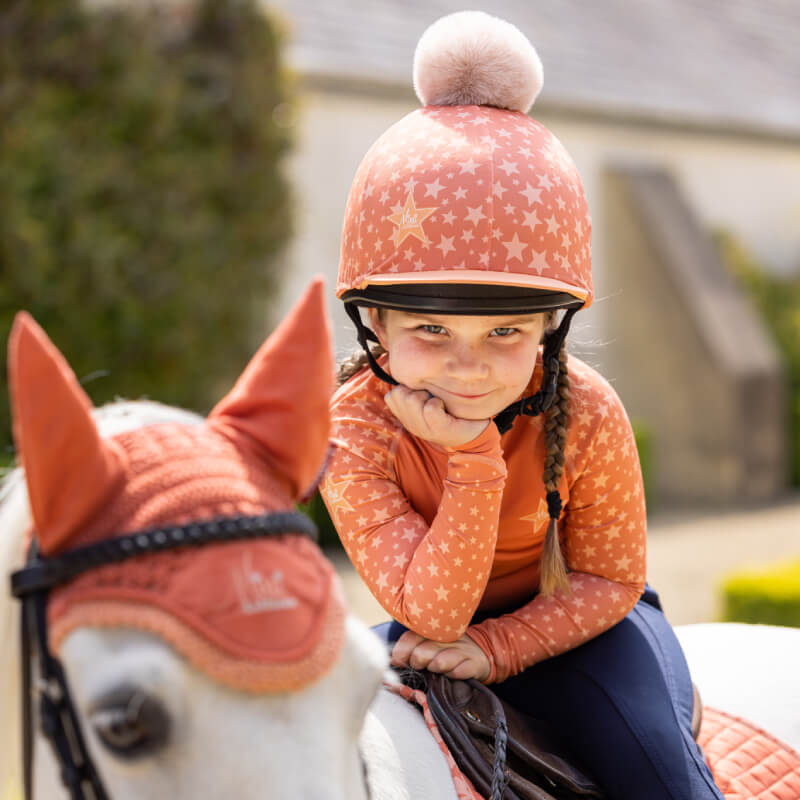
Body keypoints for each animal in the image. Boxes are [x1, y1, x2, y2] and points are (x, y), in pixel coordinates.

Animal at [4, 282, 800, 800]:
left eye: (360, 691)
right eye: (123, 725)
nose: (467, 374)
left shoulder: (601, 415)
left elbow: (606, 579)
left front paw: (469, 652)